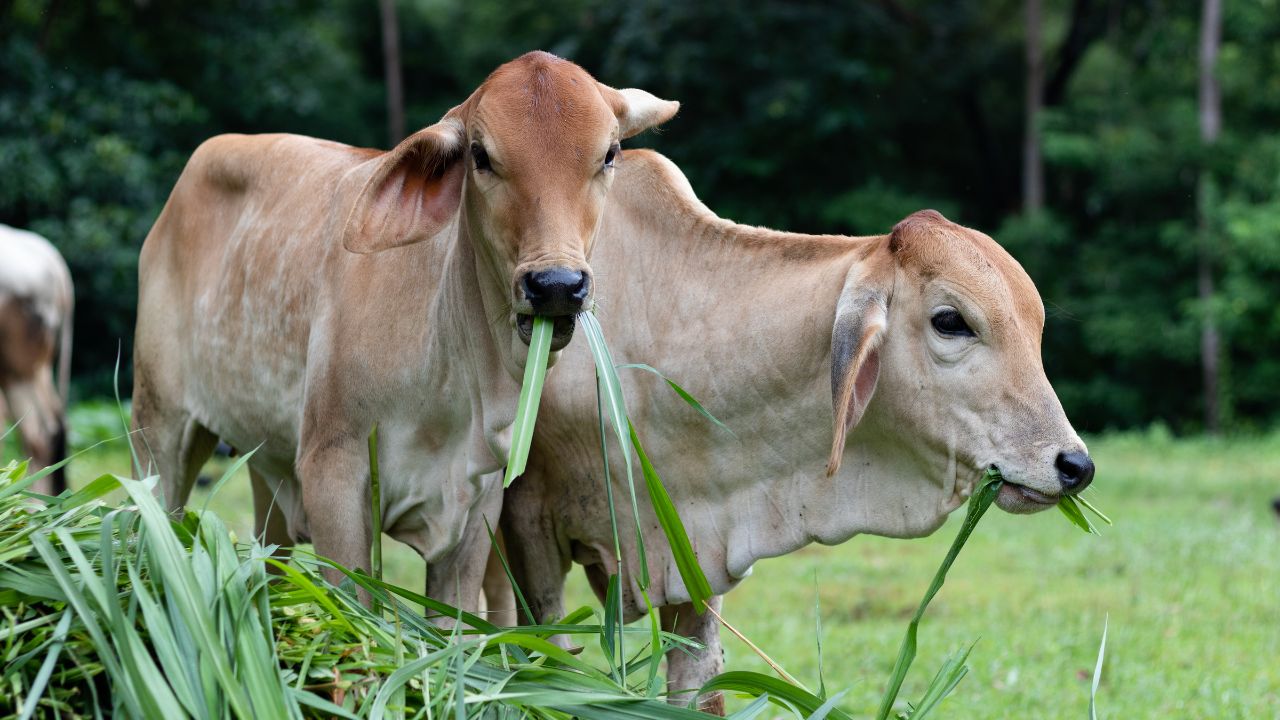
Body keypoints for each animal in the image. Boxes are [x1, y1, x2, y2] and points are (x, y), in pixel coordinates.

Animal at [130, 52, 678, 610]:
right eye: (480, 156)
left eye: (609, 153)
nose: (556, 285)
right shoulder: (332, 470)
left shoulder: (476, 502)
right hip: (157, 427)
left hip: (268, 468)